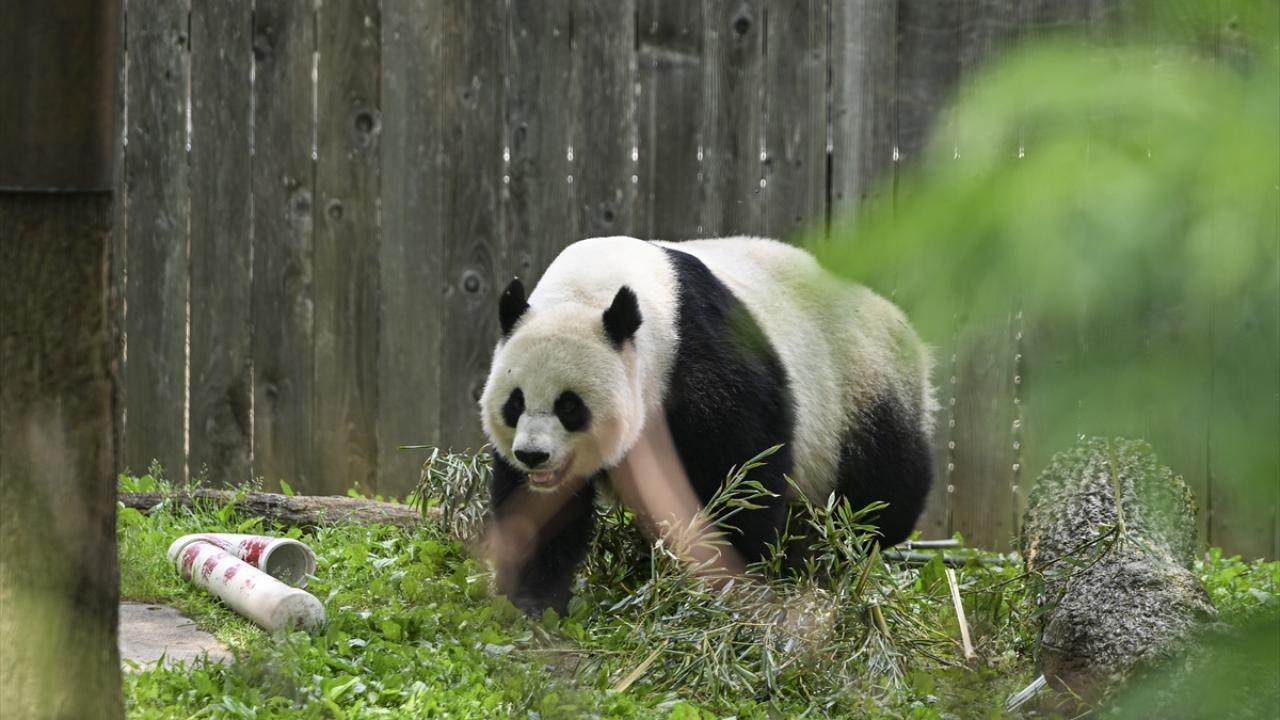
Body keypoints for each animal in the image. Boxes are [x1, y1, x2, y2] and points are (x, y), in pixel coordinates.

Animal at [479, 236, 937, 615]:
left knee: (877, 495)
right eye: (515, 403)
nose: (534, 455)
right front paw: (532, 600)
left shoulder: (701, 361)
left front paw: (726, 584)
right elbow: (538, 511)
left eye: (570, 406)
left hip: (861, 394)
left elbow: (740, 475)